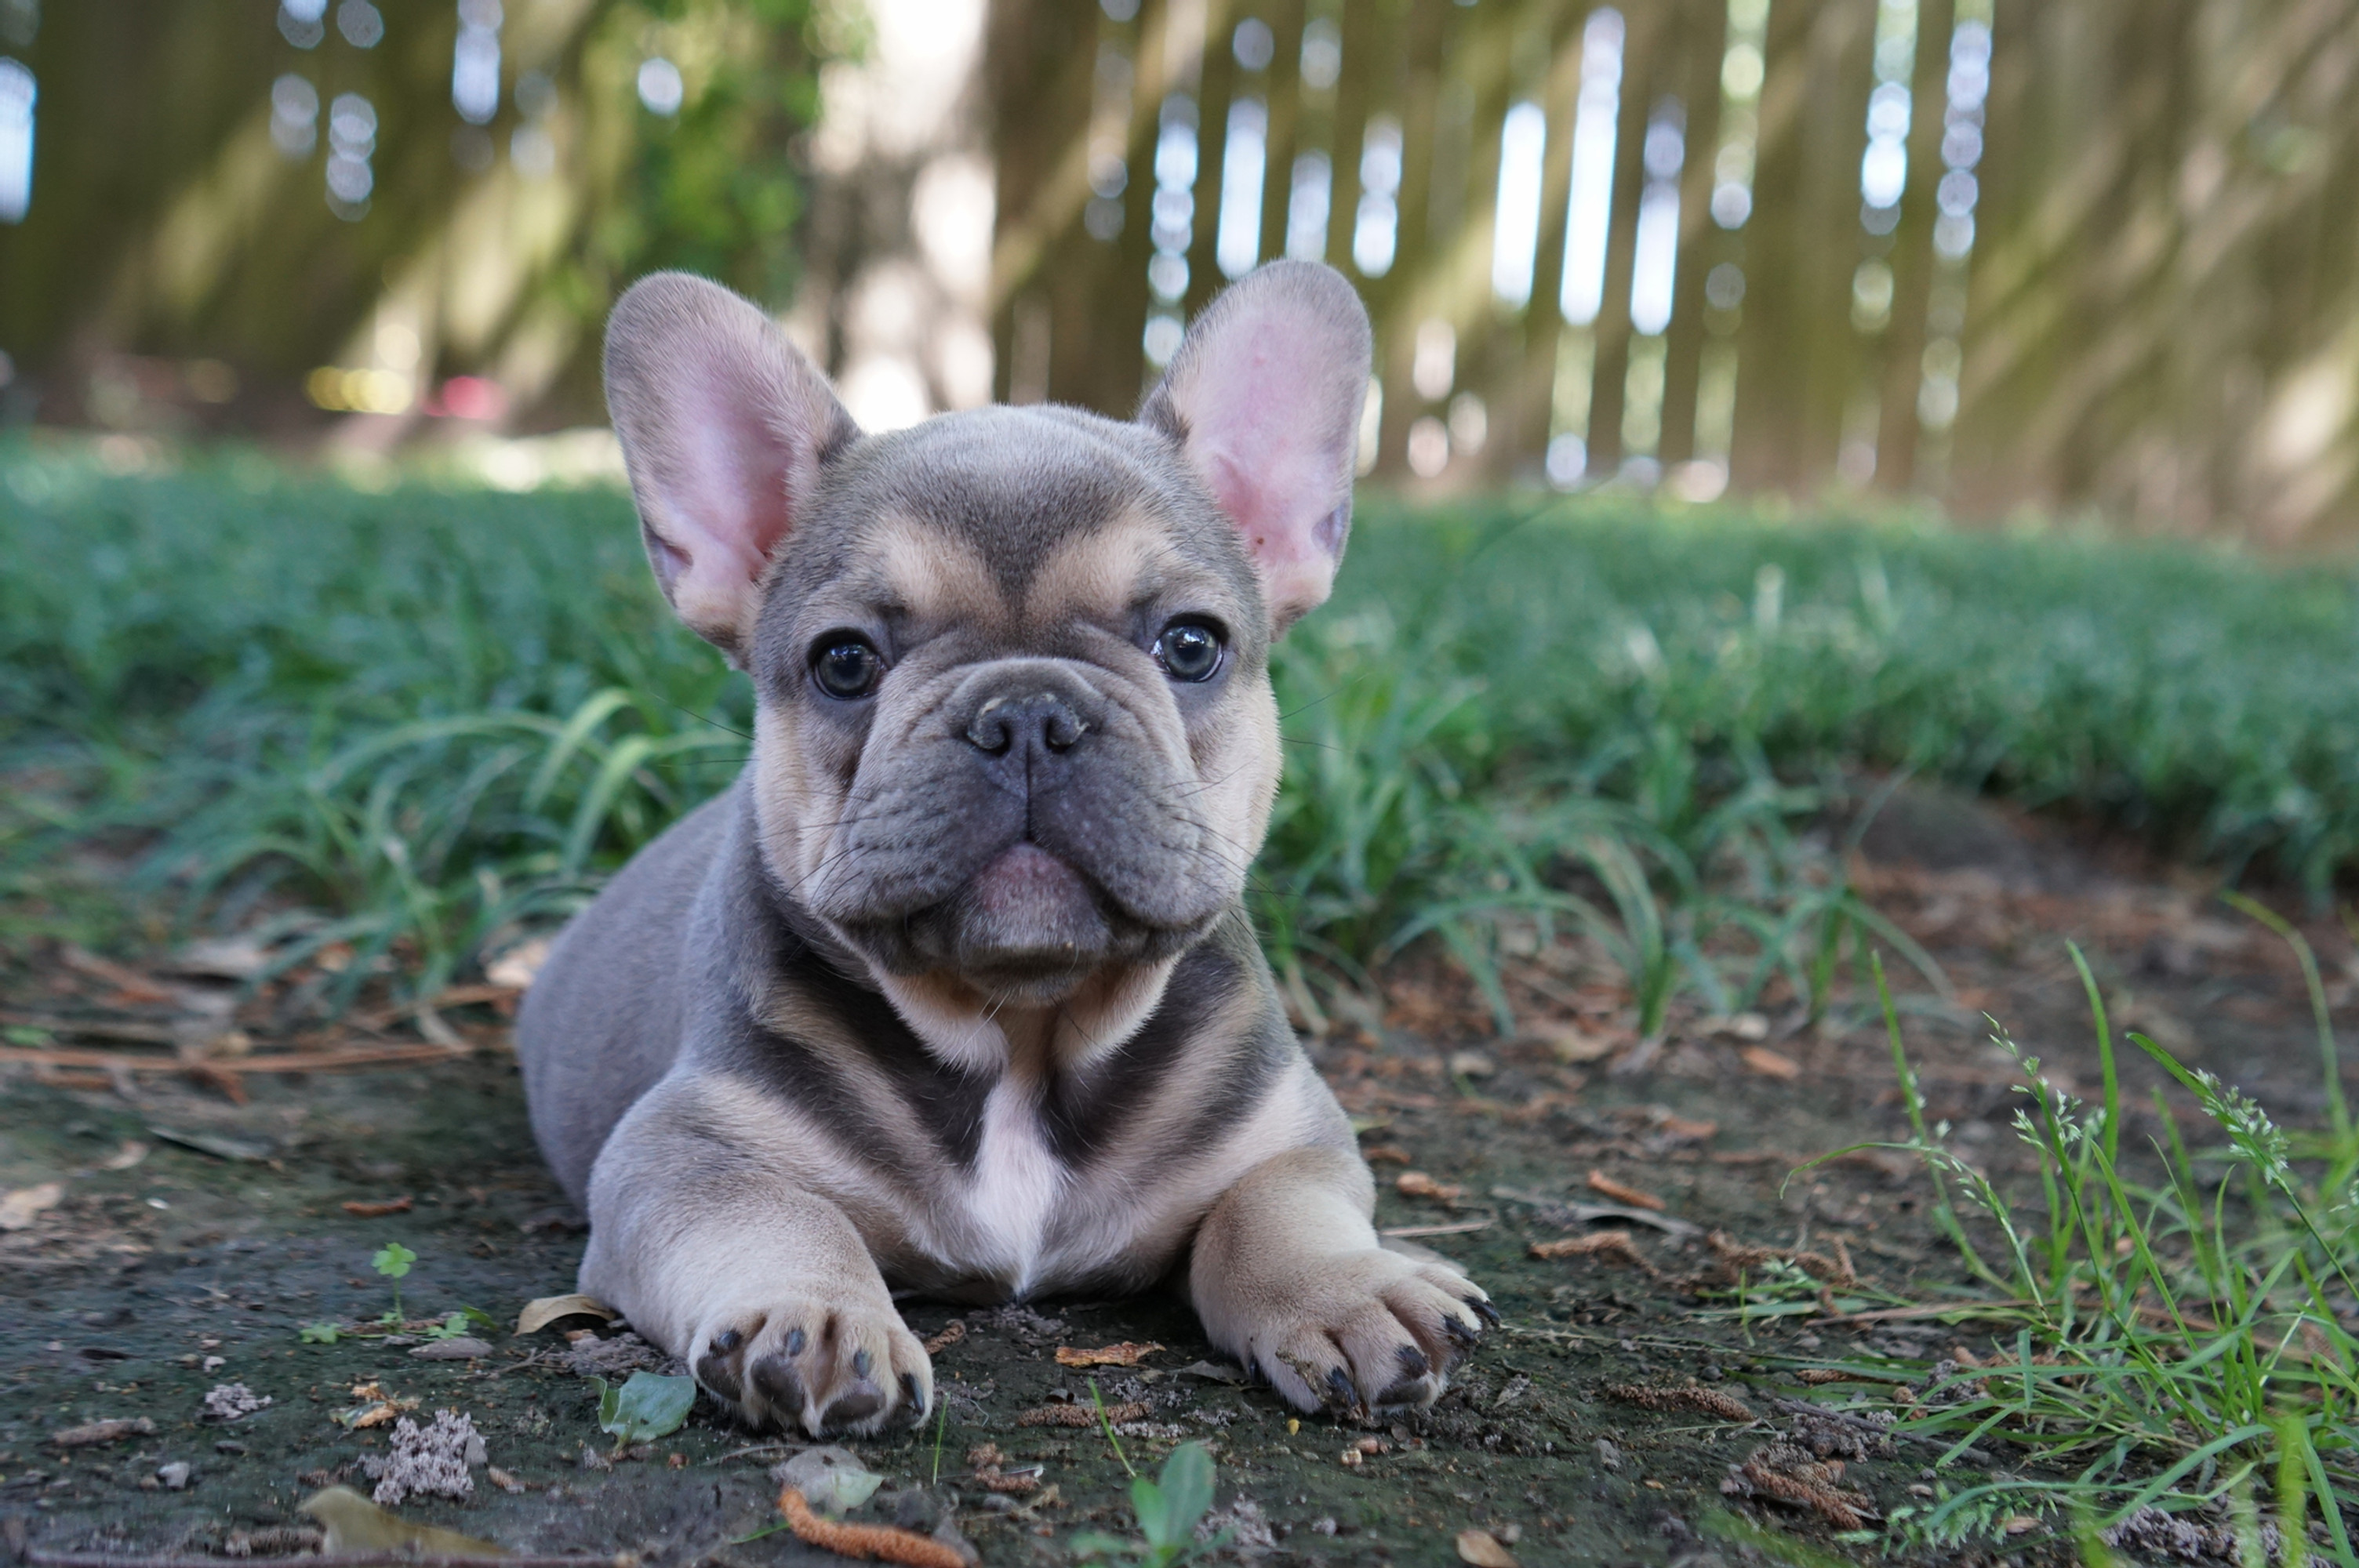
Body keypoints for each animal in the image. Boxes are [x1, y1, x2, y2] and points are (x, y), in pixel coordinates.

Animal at [521, 256, 1491, 1433]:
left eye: (1192, 644)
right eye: (843, 662)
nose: (1027, 711)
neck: (1024, 1036)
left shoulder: (1288, 1132)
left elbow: (1275, 1205)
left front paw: (1345, 1288)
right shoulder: (681, 1151)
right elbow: (777, 1213)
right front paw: (817, 1313)